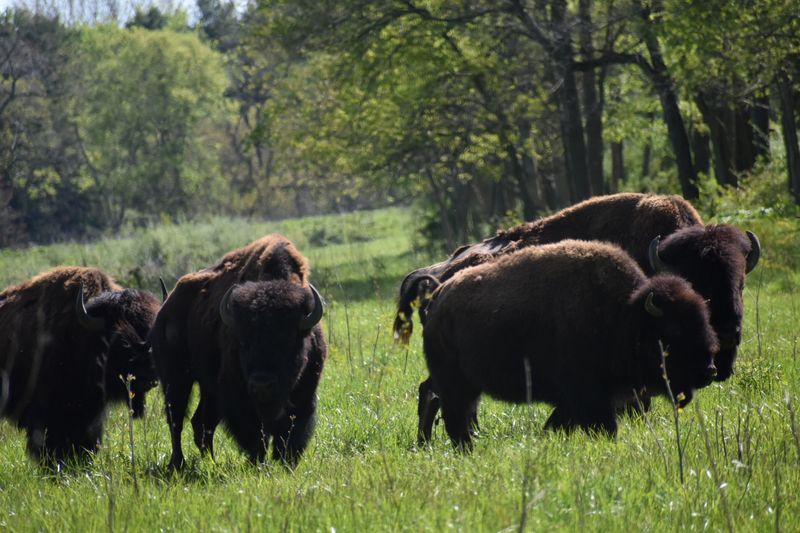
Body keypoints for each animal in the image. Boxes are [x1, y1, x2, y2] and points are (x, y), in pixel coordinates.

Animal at [150, 234, 327, 468]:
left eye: (289, 340)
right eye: (243, 342)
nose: (262, 385)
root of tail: (166, 307)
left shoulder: (305, 392)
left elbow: (291, 429)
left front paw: (285, 462)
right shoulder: (235, 392)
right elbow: (254, 431)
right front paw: (259, 462)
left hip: (208, 388)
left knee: (201, 422)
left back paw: (211, 462)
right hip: (176, 380)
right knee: (176, 420)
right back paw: (178, 463)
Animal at [421, 240, 720, 448]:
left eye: (704, 318)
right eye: (674, 330)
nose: (709, 370)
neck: (623, 314)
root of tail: (437, 300)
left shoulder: (574, 401)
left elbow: (558, 423)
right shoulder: (589, 396)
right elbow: (603, 426)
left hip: (468, 386)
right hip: (456, 384)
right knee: (453, 415)